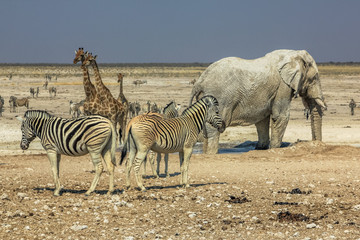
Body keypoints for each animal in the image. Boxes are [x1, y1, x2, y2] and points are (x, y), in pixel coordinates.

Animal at [190, 49, 328, 154]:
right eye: (314, 78)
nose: (315, 143)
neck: (294, 54)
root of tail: (199, 82)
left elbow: (262, 119)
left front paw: (261, 148)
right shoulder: (282, 87)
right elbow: (281, 116)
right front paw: (274, 149)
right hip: (219, 97)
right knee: (214, 128)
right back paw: (211, 154)